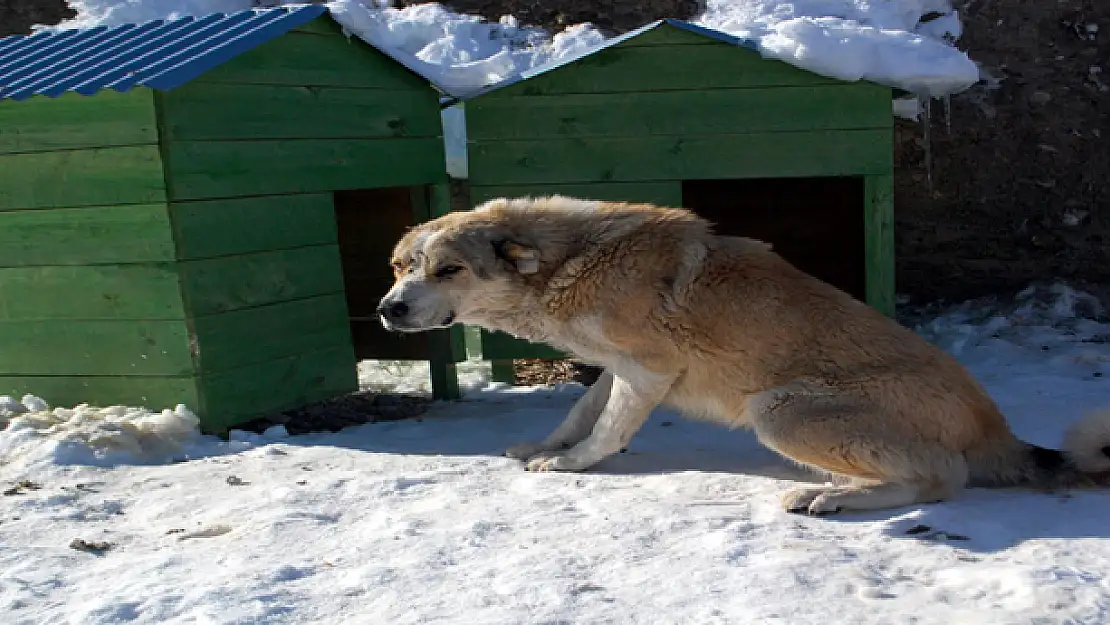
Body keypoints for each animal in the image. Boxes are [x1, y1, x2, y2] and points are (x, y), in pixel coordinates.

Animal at [379, 197, 1110, 515]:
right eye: (399, 268)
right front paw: (544, 444)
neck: (567, 262)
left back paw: (832, 497)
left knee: (943, 476)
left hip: (779, 409)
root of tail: (996, 429)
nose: (389, 310)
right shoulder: (618, 368)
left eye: (447, 270)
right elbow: (579, 412)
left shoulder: (648, 369)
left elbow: (604, 431)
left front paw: (568, 465)